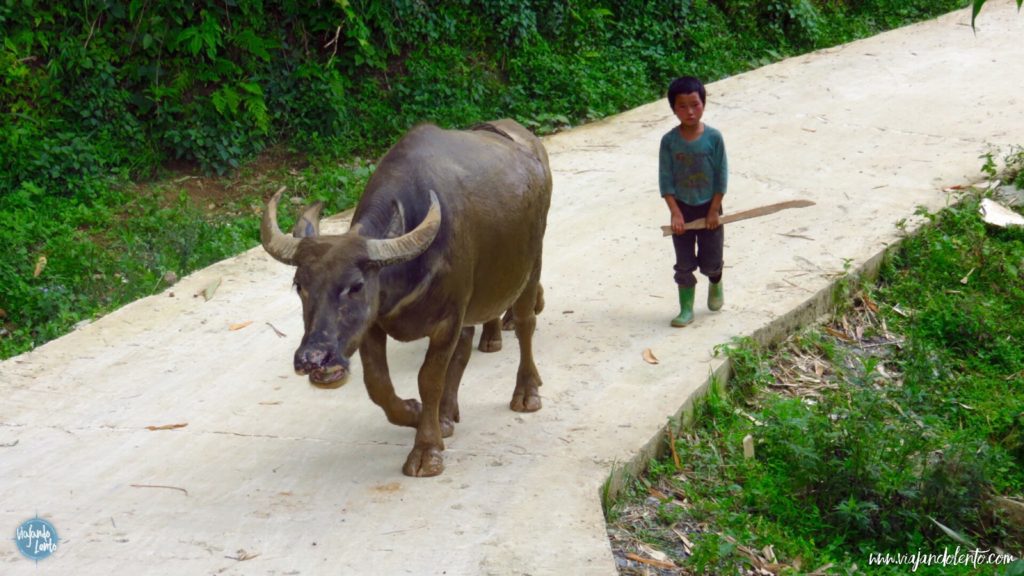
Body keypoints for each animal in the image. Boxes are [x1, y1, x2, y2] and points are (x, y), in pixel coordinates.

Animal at [264, 117, 552, 475]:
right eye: (299, 285)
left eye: (356, 285)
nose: (313, 359)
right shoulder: (373, 325)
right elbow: (377, 384)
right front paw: (417, 413)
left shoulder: (447, 319)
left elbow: (429, 378)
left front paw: (426, 449)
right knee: (464, 349)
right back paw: (447, 413)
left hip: (531, 266)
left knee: (526, 325)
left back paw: (526, 392)